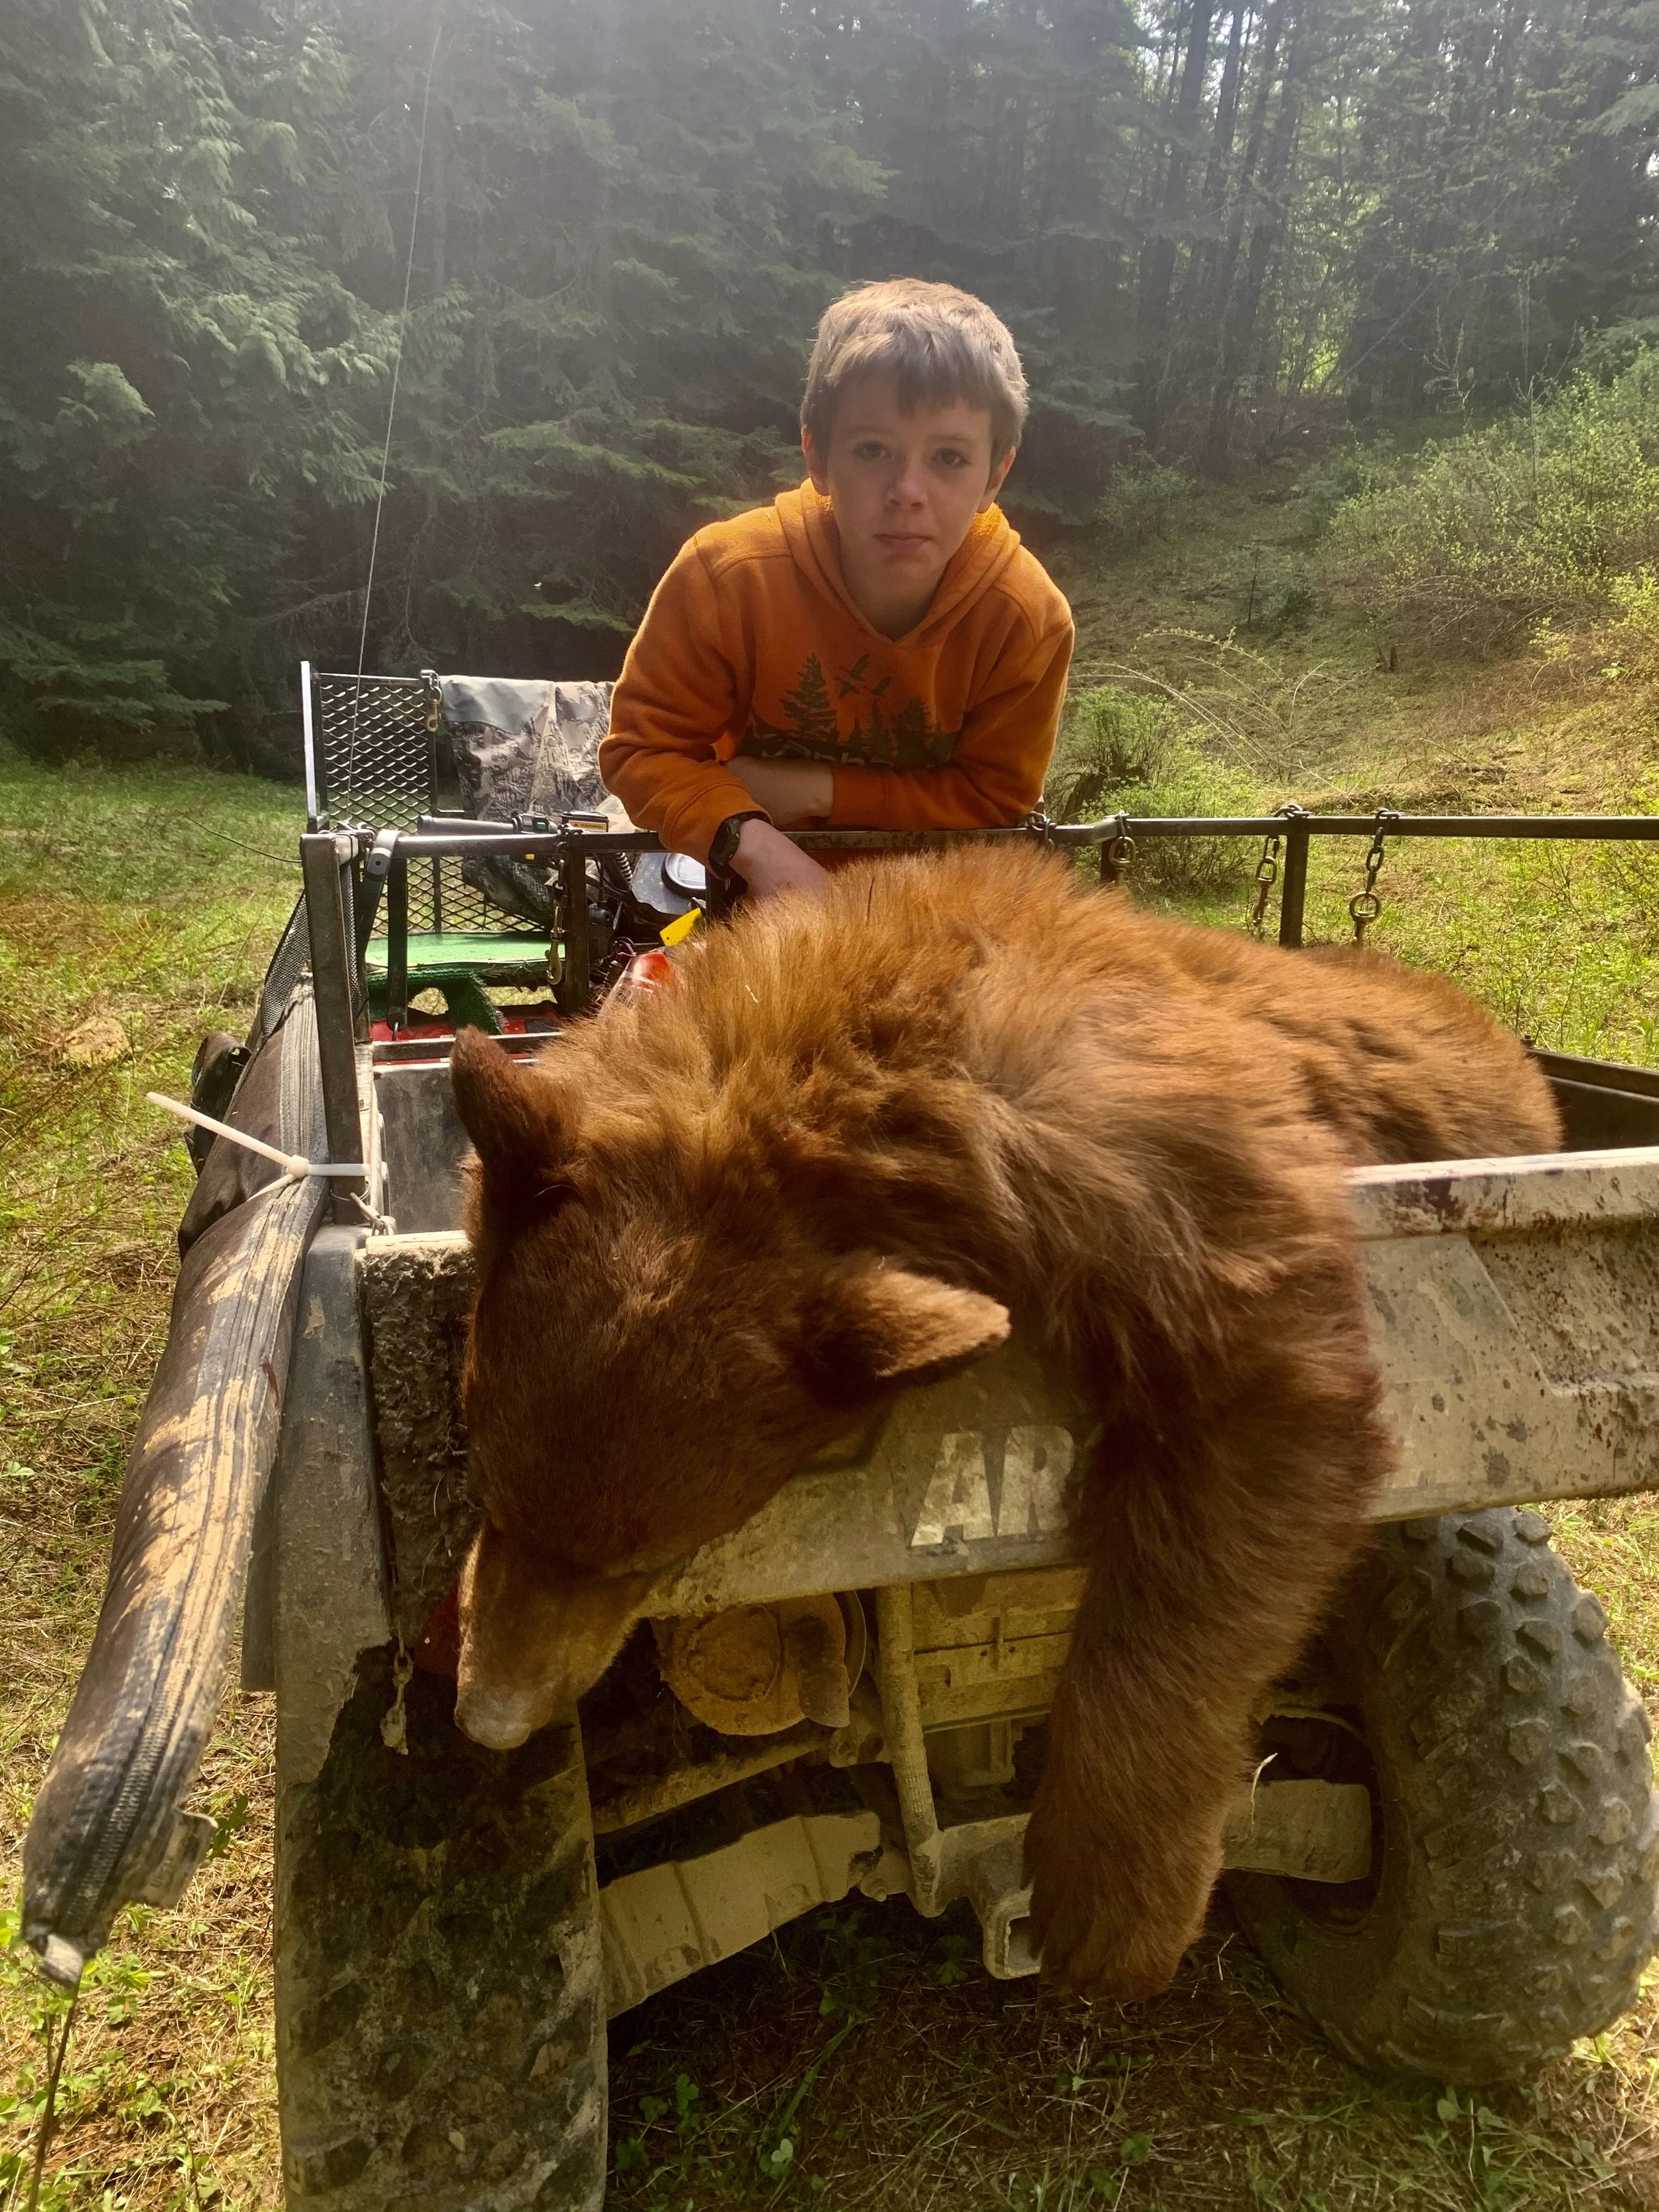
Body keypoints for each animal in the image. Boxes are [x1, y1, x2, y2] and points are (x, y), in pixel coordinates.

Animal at [448, 842, 1560, 1999]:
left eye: (649, 1560)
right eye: (487, 1486)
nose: (488, 1716)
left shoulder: (1144, 1160)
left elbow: (1255, 1426)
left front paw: (1108, 1900)